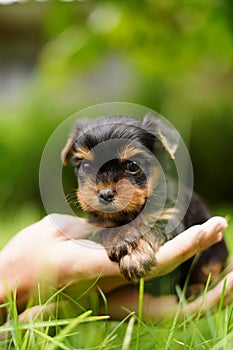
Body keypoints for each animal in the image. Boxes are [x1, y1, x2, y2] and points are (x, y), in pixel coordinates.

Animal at [62, 114, 228, 296]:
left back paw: (195, 288)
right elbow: (106, 231)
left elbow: (150, 229)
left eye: (133, 166)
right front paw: (121, 238)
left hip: (214, 251)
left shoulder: (167, 216)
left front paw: (135, 256)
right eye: (85, 166)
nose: (105, 194)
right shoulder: (96, 225)